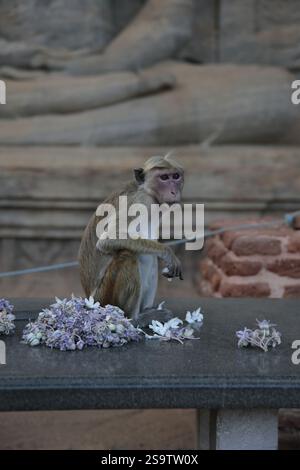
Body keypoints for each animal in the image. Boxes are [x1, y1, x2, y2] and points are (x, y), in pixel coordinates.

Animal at [78, 156, 184, 324]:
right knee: (128, 254)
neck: (145, 190)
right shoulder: (142, 201)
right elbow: (108, 239)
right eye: (164, 178)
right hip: (104, 297)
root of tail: (90, 299)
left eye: (175, 176)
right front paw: (168, 252)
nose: (174, 191)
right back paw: (135, 319)